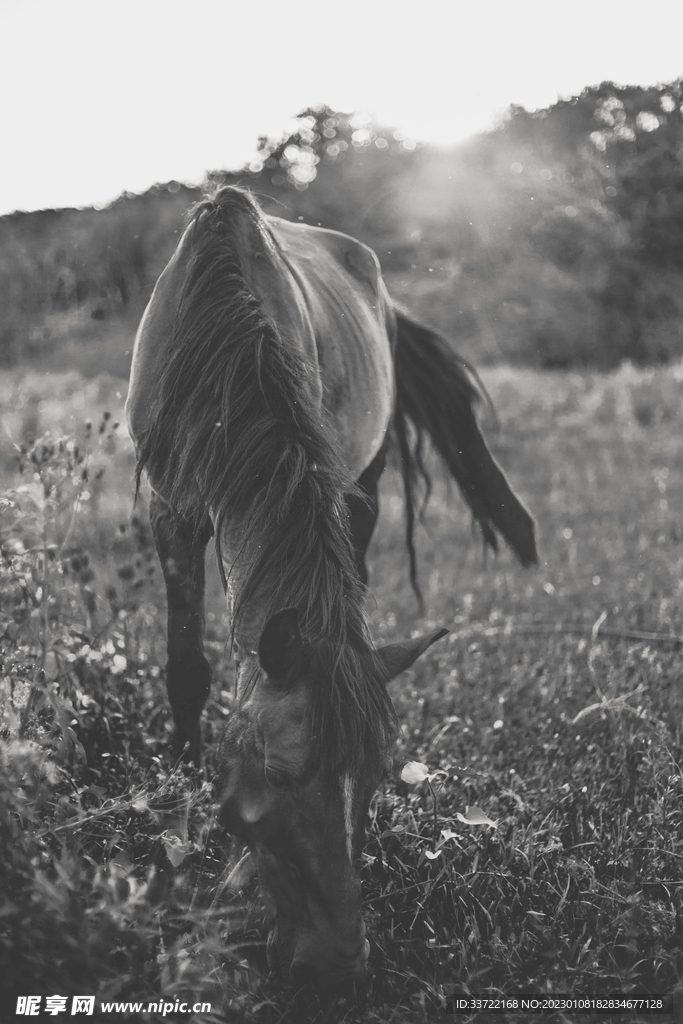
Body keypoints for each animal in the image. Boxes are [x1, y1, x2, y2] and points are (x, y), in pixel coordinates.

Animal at [125, 185, 537, 989]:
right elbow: (187, 666)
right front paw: (182, 772)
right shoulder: (172, 513)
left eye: (375, 777)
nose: (339, 965)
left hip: (364, 482)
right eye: (275, 779)